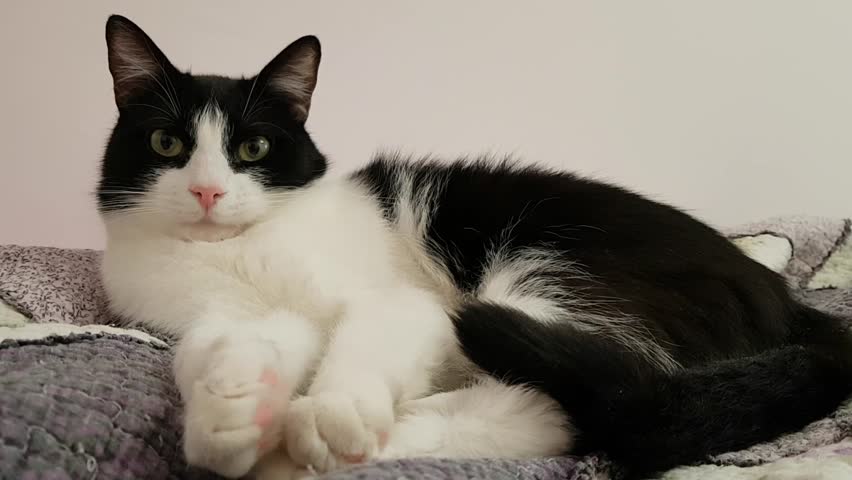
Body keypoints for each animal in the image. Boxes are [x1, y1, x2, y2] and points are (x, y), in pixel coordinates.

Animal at [96, 15, 852, 480]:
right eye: (166, 143)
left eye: (252, 149)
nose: (207, 192)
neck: (231, 252)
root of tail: (788, 300)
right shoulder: (206, 314)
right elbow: (210, 349)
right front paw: (232, 408)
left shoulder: (406, 303)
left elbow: (375, 328)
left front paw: (332, 411)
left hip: (550, 267)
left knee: (578, 406)